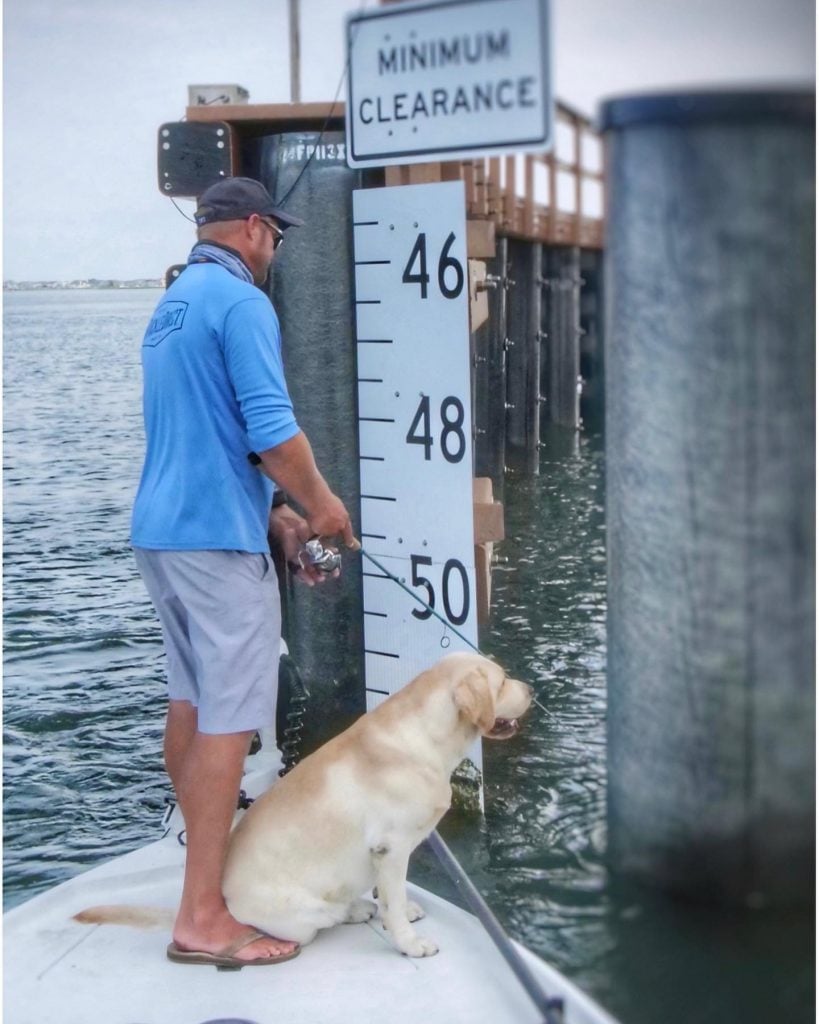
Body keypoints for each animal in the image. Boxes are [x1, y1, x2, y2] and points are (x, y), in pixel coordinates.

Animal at [224, 651, 532, 954]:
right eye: (503, 682)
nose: (531, 689)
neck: (426, 737)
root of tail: (223, 892)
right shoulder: (392, 848)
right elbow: (393, 902)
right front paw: (411, 943)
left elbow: (393, 894)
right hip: (301, 918)